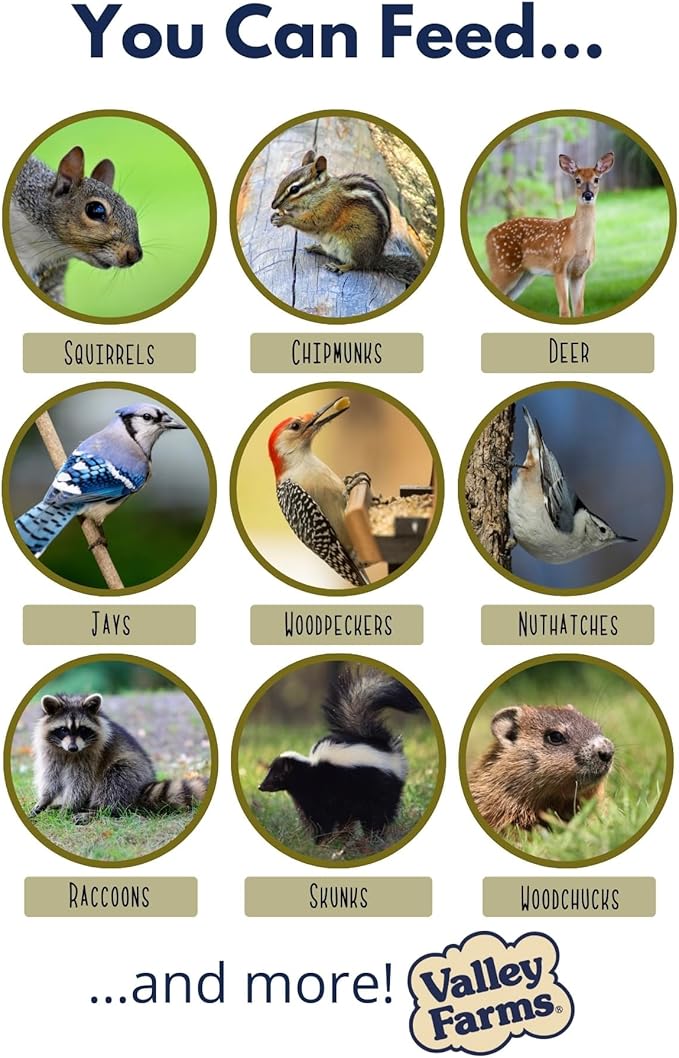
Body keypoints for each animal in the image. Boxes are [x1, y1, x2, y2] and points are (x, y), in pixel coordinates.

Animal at [270, 149, 423, 287]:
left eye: (294, 189)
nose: (273, 205)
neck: (322, 192)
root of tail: (374, 259)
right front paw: (276, 216)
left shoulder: (328, 208)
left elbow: (312, 223)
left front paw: (285, 219)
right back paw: (317, 248)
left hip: (353, 245)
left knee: (357, 265)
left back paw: (339, 267)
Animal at [485, 151, 615, 317]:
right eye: (577, 180)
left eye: (596, 179)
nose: (588, 195)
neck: (578, 243)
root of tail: (489, 234)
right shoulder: (559, 266)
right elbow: (565, 311)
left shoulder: (579, 272)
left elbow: (579, 310)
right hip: (503, 266)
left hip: (524, 274)